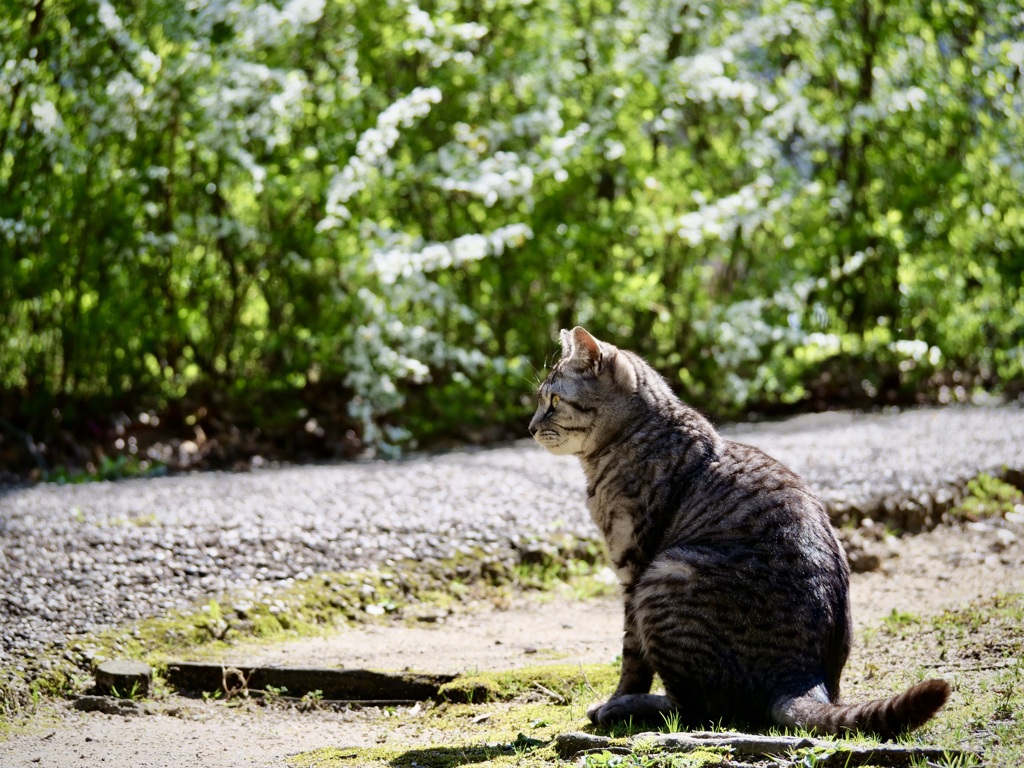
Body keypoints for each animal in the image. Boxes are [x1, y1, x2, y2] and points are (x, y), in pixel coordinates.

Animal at [532, 325, 946, 741]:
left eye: (554, 399)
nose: (532, 427)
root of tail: (803, 679)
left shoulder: (632, 571)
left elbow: (631, 658)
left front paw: (617, 698)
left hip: (666, 573)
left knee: (695, 708)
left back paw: (626, 708)